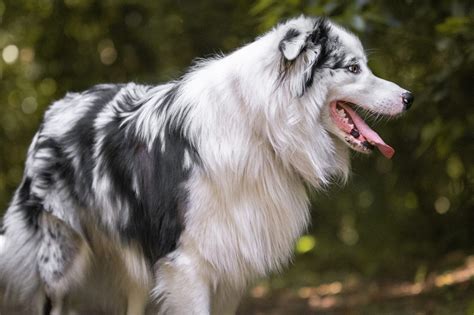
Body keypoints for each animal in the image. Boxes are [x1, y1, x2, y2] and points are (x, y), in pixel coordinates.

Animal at [0, 15, 412, 315]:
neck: (260, 125)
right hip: (59, 264)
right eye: (354, 69)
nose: (409, 97)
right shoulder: (187, 264)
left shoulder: (230, 263)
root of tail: (55, 108)